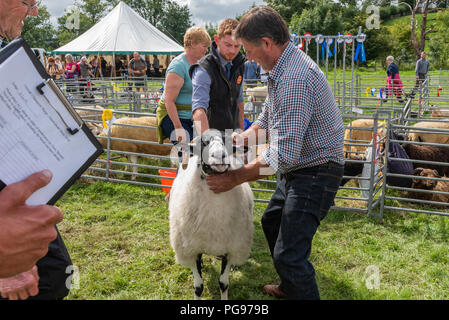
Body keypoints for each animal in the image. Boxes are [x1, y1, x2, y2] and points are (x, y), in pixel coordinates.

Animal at [168, 131, 254, 300]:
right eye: (203, 143)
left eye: (228, 141)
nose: (220, 155)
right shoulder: (192, 248)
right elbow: (198, 286)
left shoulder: (230, 247)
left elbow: (223, 283)